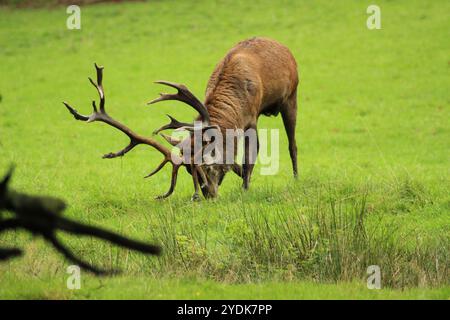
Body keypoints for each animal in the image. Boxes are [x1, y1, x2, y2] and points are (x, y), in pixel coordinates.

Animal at [63, 37, 298, 200]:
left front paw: (245, 189)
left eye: (208, 166)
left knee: (292, 144)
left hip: (291, 97)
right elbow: (236, 163)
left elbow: (249, 158)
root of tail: (284, 47)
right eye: (188, 170)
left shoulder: (250, 119)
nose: (209, 195)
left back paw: (296, 178)